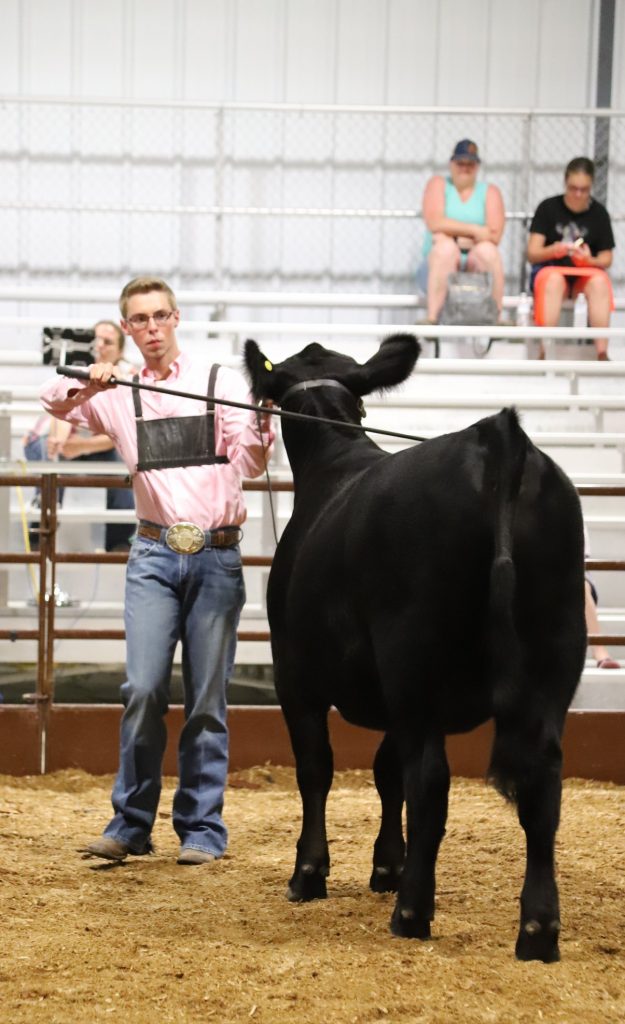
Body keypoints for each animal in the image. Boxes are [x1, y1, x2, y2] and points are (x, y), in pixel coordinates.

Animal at [243, 333, 581, 958]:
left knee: (431, 781)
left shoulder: (296, 675)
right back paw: (537, 930)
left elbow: (319, 769)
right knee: (542, 784)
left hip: (412, 655)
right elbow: (385, 771)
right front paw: (386, 866)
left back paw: (413, 912)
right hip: (553, 651)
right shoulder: (391, 695)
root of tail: (494, 437)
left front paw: (311, 873)